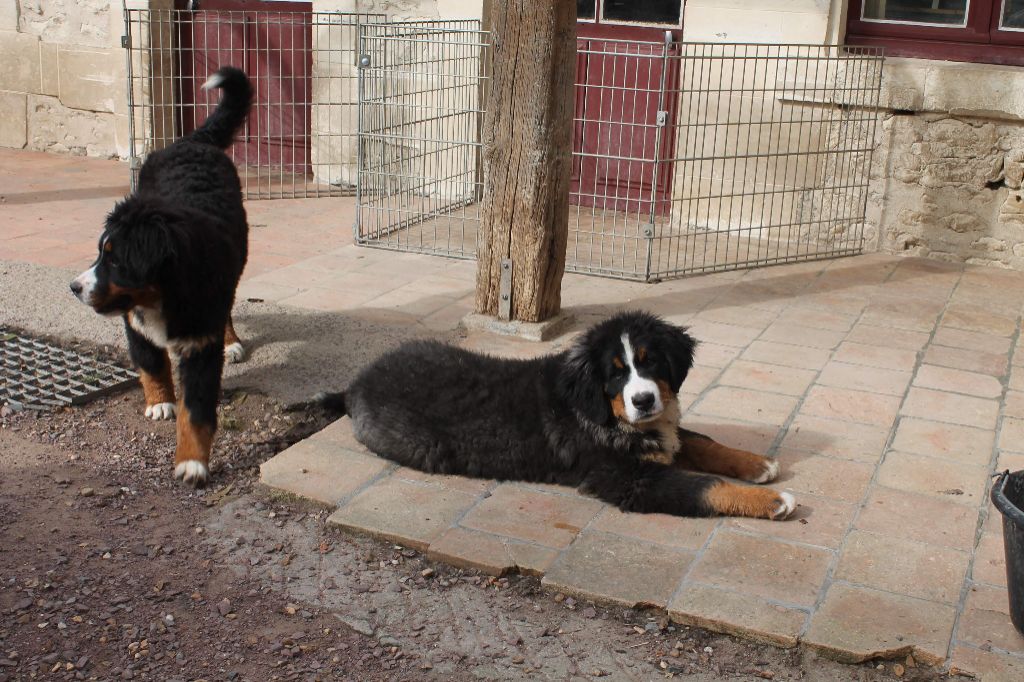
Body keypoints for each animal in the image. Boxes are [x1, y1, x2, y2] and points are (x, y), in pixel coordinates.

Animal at [70, 66, 253, 485]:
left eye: (115, 261)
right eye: (99, 253)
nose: (75, 287)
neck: (161, 296)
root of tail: (191, 140)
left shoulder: (200, 342)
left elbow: (197, 409)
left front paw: (192, 463)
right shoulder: (133, 320)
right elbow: (151, 362)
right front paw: (161, 402)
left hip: (234, 266)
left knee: (228, 307)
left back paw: (232, 341)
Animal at [315, 311, 794, 518]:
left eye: (651, 362)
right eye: (615, 374)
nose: (643, 400)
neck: (604, 415)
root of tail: (356, 383)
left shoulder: (661, 433)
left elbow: (699, 441)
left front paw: (757, 464)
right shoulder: (626, 478)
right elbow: (700, 487)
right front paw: (773, 501)